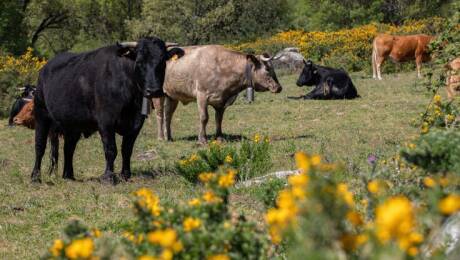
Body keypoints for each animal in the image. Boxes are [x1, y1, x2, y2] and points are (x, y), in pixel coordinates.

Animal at [30, 37, 181, 183]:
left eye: (162, 61)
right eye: (139, 62)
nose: (153, 90)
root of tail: (45, 68)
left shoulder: (137, 122)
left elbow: (127, 149)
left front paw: (125, 175)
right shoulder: (106, 121)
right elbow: (110, 149)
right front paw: (108, 176)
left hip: (73, 124)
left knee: (68, 148)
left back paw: (68, 176)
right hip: (41, 114)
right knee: (40, 146)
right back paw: (35, 177)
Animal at [153, 44, 282, 142]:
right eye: (267, 69)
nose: (279, 87)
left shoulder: (222, 101)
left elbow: (219, 119)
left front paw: (219, 137)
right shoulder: (202, 95)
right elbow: (204, 117)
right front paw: (202, 139)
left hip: (172, 95)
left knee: (168, 115)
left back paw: (169, 137)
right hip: (158, 94)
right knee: (160, 114)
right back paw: (161, 137)